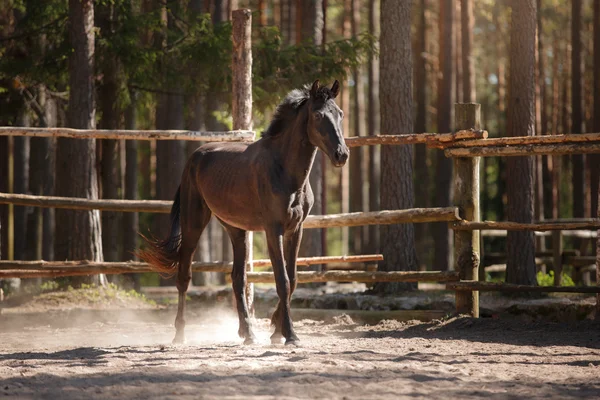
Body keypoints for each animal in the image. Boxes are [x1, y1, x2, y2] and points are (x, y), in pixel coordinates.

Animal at [137, 79, 346, 346]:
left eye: (340, 114)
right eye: (318, 115)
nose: (342, 154)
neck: (284, 170)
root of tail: (194, 158)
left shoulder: (295, 230)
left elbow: (293, 279)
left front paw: (276, 330)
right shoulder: (273, 230)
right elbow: (282, 280)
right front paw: (289, 335)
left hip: (236, 230)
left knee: (238, 278)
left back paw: (248, 334)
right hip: (193, 223)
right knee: (184, 275)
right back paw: (180, 335)